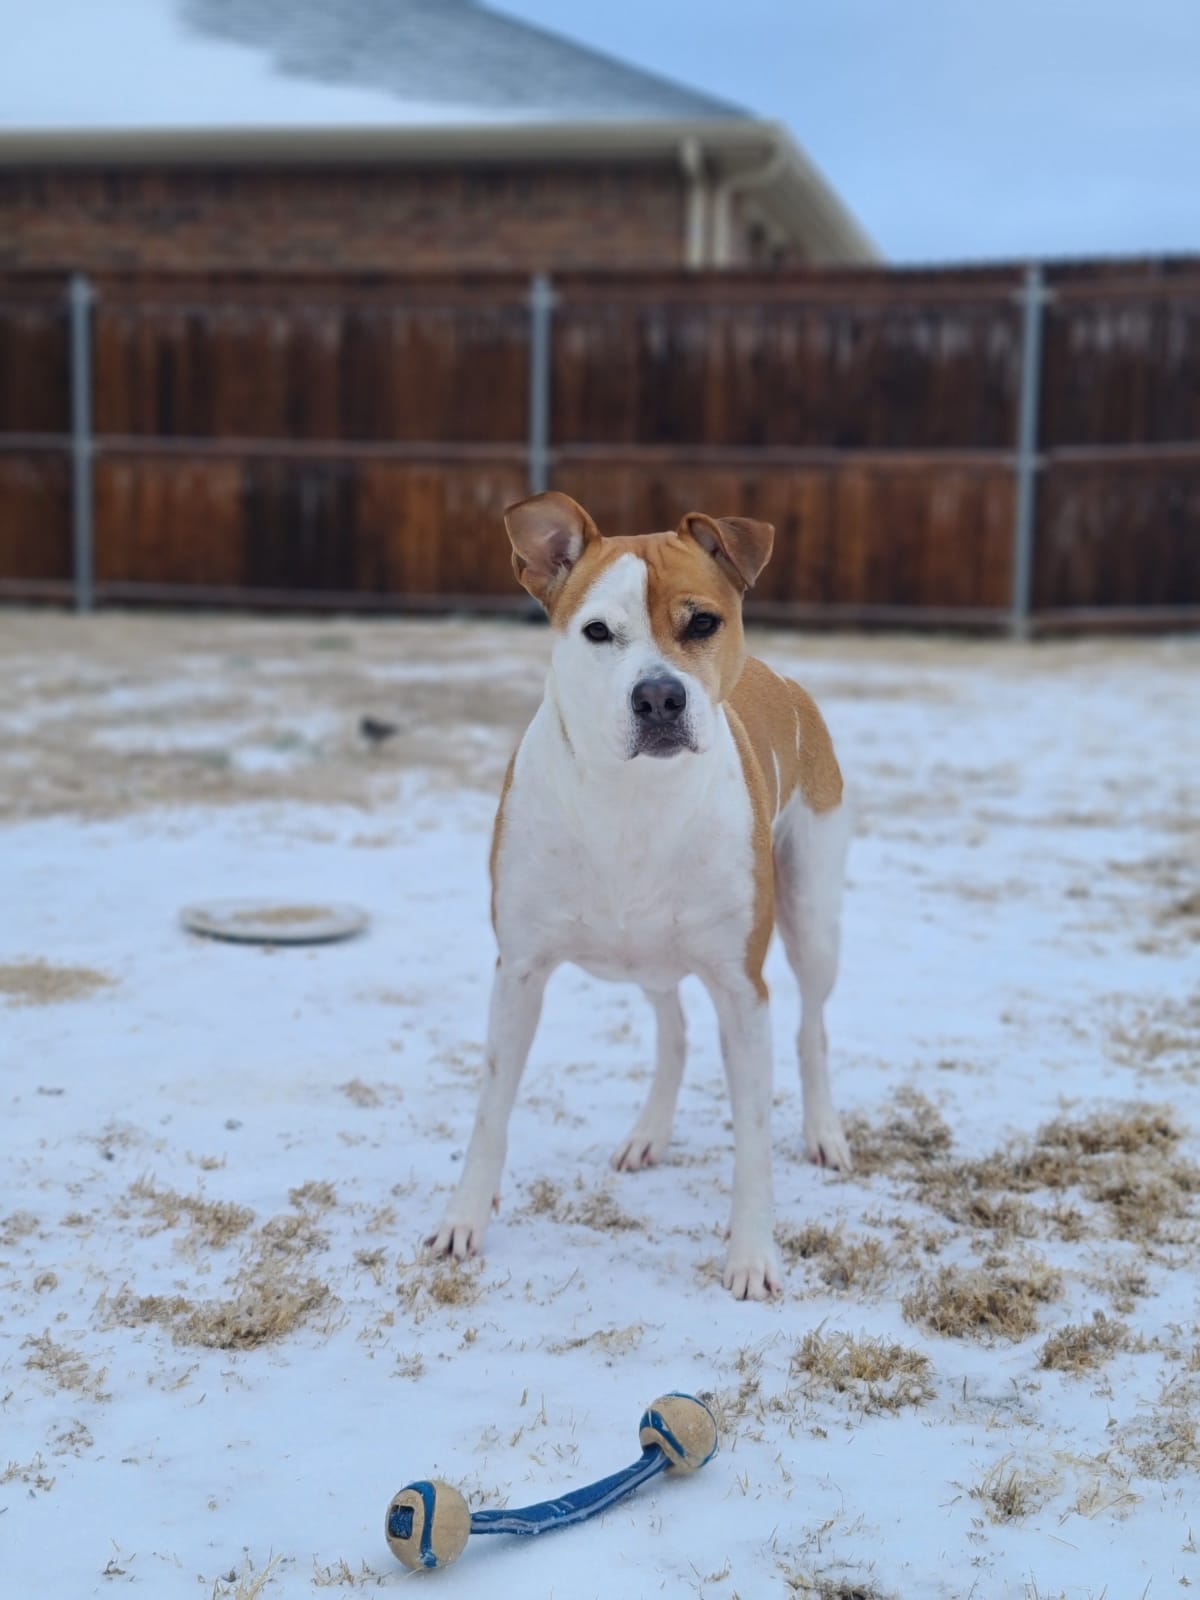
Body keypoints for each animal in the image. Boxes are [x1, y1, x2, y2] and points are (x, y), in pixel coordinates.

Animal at [428, 496, 851, 1299]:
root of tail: (780, 677)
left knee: (813, 1027)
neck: (631, 800)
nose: (659, 695)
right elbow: (491, 1110)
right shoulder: (519, 971)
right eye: (598, 631)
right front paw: (463, 1219)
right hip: (648, 956)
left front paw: (752, 1256)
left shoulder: (741, 989)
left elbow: (753, 1136)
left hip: (813, 912)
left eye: (703, 623)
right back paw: (650, 1134)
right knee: (673, 1030)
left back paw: (824, 1134)